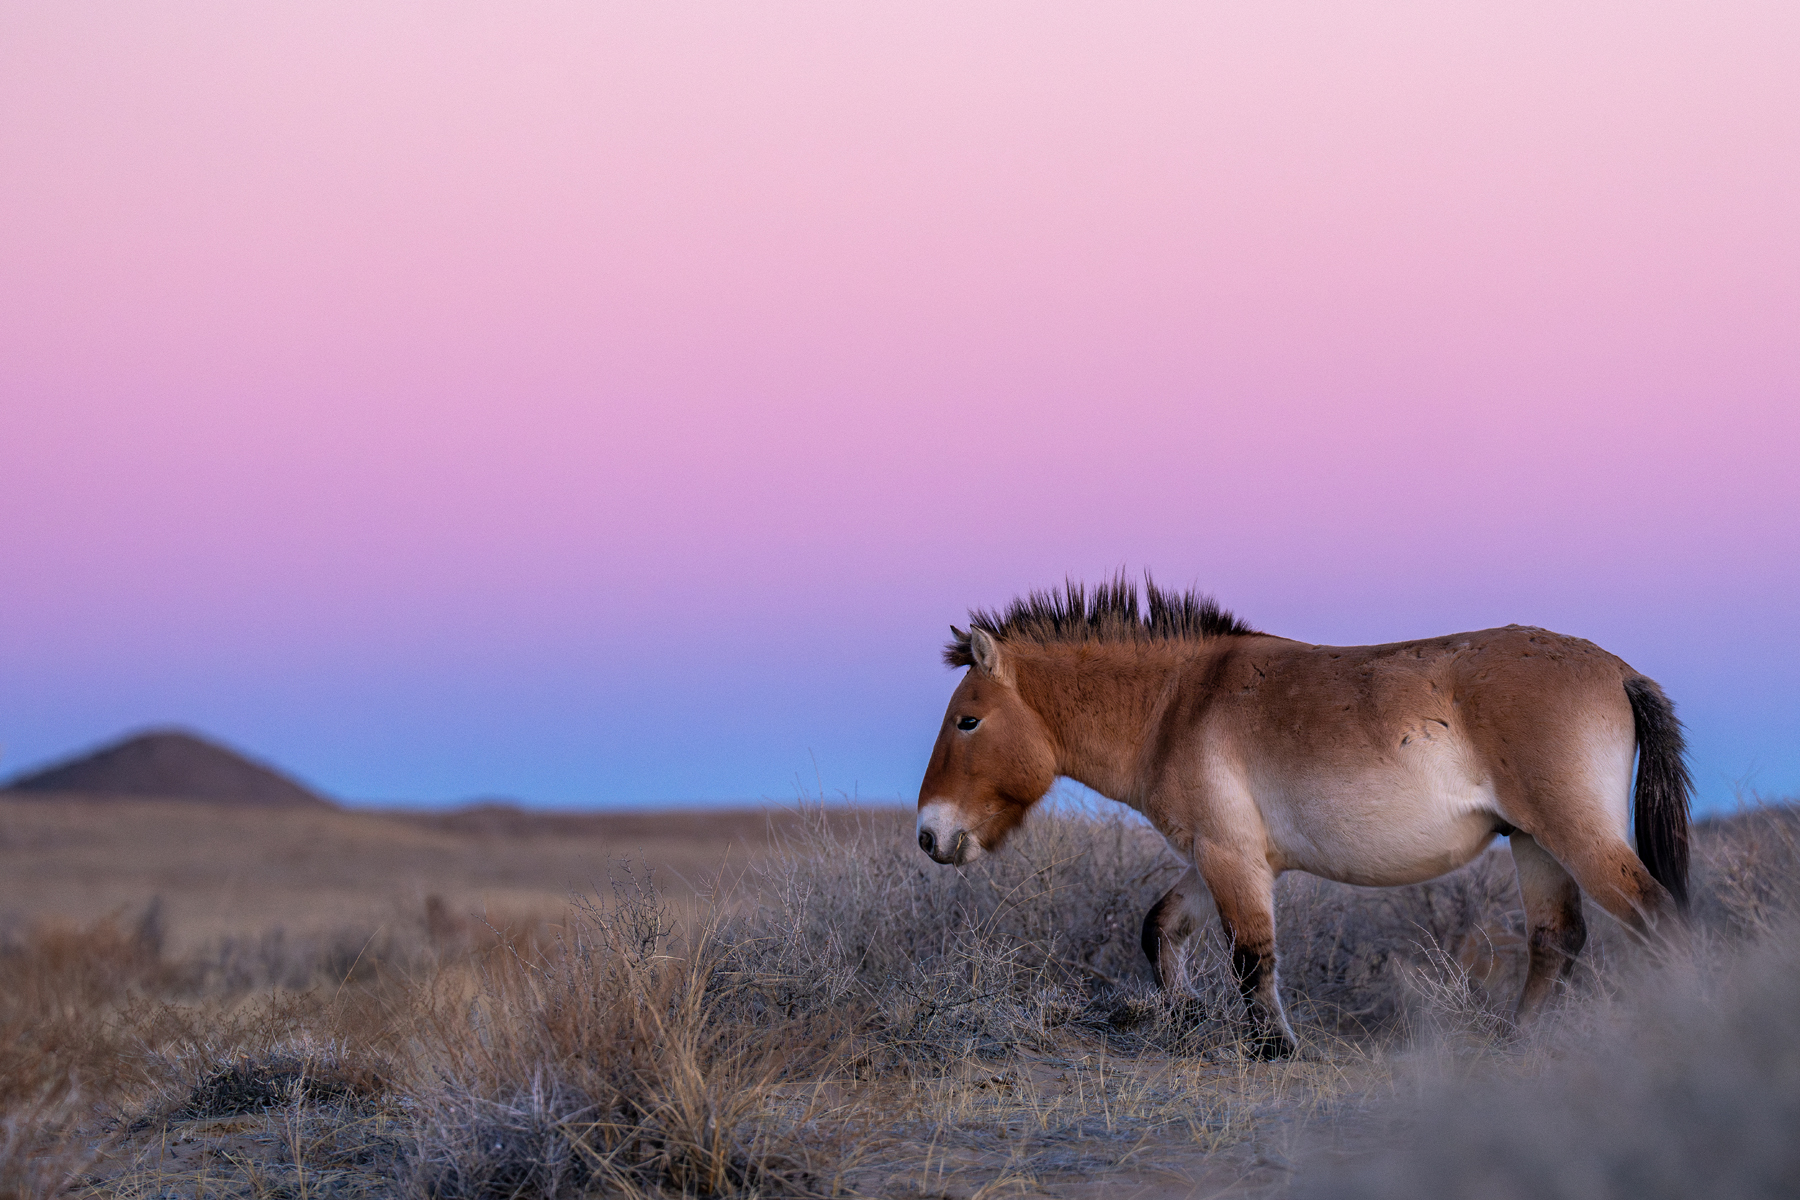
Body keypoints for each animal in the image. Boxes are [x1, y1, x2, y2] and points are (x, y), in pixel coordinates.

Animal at [914, 578, 1691, 1057]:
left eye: (967, 720)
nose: (929, 835)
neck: (1176, 705)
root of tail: (1619, 671)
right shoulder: (1220, 855)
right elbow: (1160, 927)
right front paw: (1187, 1013)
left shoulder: (1229, 857)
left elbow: (1251, 954)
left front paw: (1273, 1049)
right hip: (1534, 843)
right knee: (1556, 940)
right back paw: (1516, 1043)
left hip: (1574, 835)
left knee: (1658, 922)